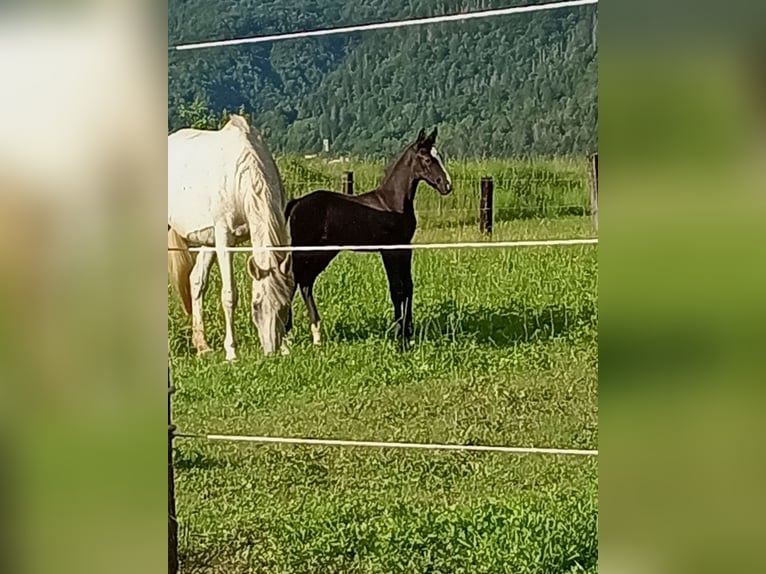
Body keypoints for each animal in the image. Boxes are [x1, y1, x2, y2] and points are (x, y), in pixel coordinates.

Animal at [168, 115, 294, 362]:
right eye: (256, 306)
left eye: (284, 307)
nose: (271, 351)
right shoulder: (224, 237)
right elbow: (229, 294)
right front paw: (231, 351)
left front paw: (286, 347)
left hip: (207, 241)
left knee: (196, 281)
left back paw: (202, 345)